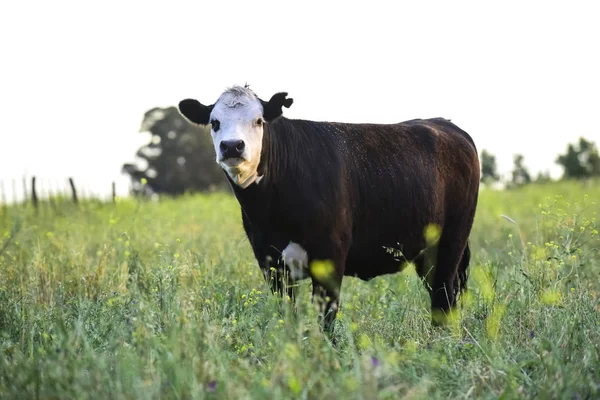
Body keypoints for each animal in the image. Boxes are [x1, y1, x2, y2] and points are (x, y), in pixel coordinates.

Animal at [177, 86, 478, 332]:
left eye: (258, 121)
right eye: (215, 122)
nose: (232, 146)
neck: (271, 212)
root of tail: (445, 124)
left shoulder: (330, 257)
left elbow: (326, 320)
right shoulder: (270, 262)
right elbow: (288, 314)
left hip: (450, 244)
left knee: (443, 298)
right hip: (427, 254)